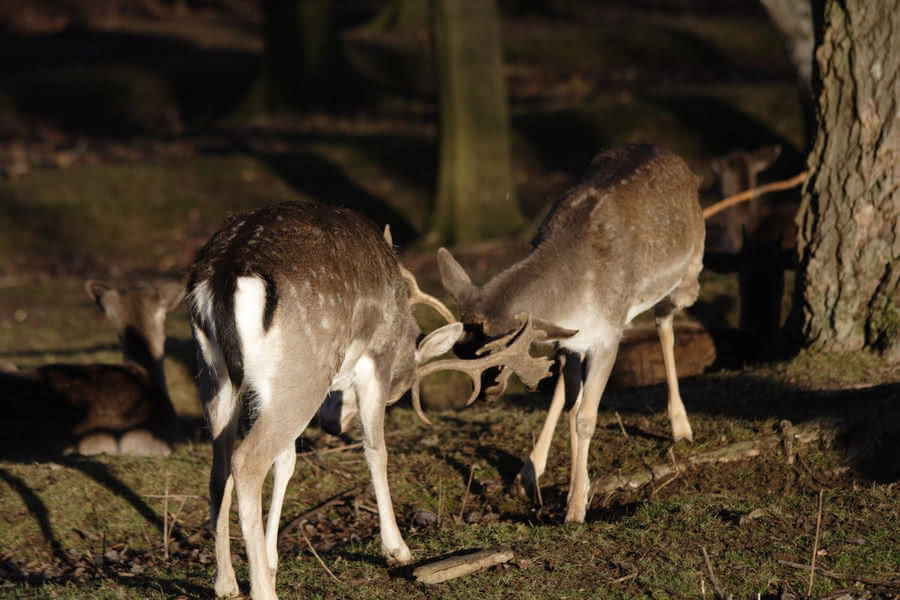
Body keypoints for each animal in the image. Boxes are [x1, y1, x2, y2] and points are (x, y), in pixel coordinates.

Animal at [185, 203, 548, 600]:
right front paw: (397, 549)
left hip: (216, 377)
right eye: (400, 389)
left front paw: (271, 560)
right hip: (303, 372)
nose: (333, 425)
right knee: (248, 461)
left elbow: (288, 462)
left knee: (220, 469)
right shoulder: (376, 361)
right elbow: (376, 449)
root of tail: (225, 276)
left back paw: (226, 583)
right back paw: (264, 592)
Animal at [438, 143, 712, 524]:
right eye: (462, 349)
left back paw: (682, 428)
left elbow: (585, 417)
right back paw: (528, 472)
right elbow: (571, 407)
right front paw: (568, 491)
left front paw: (576, 509)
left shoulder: (609, 336)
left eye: (495, 351)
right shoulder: (570, 339)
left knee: (665, 324)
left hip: (689, 275)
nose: (486, 393)